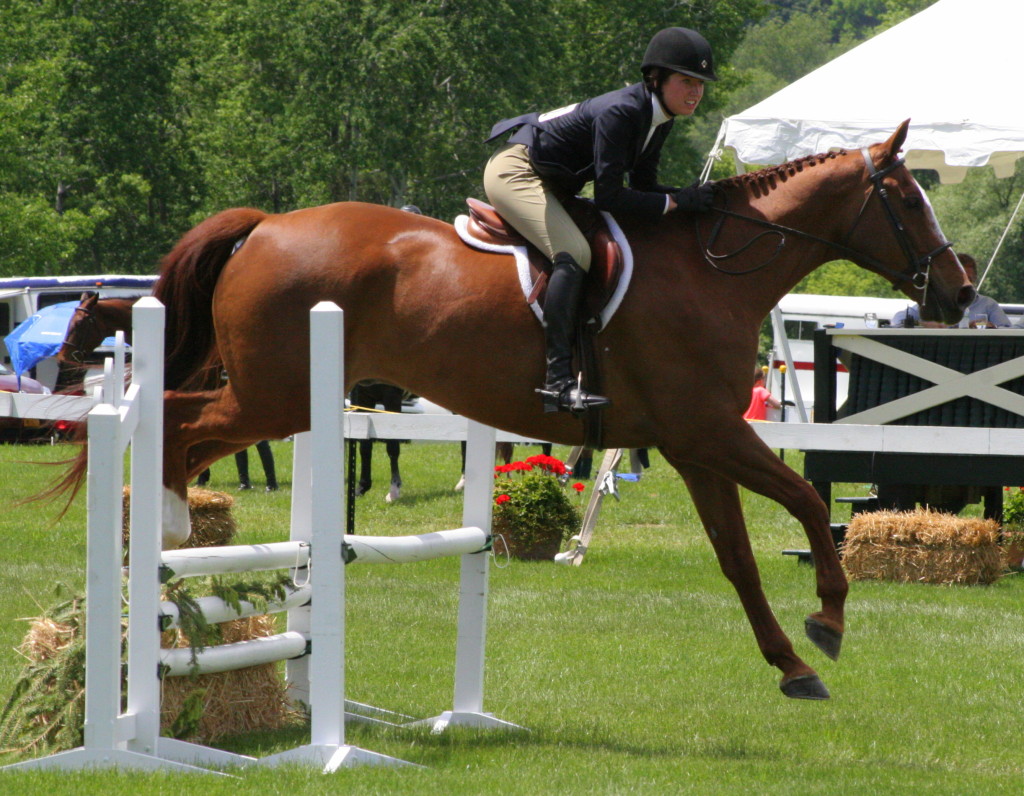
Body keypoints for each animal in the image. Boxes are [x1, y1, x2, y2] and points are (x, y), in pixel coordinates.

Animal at [59, 121, 972, 700]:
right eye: (908, 201)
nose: (959, 293)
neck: (715, 271)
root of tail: (266, 225)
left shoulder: (691, 445)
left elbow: (740, 559)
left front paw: (792, 665)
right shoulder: (710, 431)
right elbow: (811, 501)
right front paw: (829, 620)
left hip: (271, 392)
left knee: (178, 421)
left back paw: (164, 548)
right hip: (274, 393)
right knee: (177, 424)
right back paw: (168, 534)